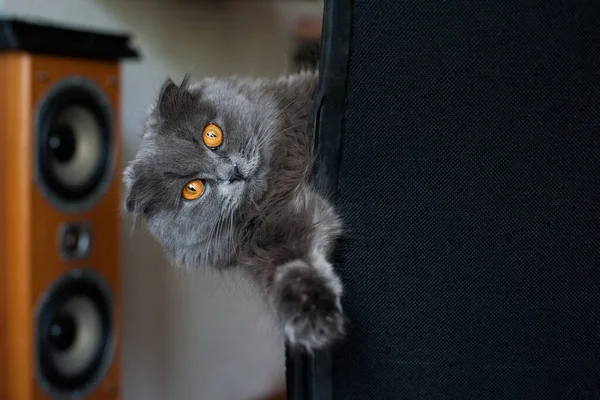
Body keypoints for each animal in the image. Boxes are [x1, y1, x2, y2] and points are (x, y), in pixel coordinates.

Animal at [124, 70, 344, 352]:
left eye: (211, 135)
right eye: (192, 189)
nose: (233, 172)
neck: (279, 185)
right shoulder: (277, 237)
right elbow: (294, 270)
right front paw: (313, 317)